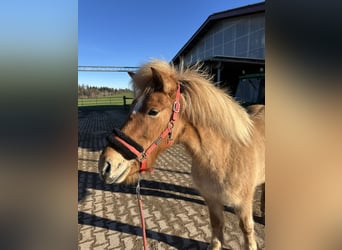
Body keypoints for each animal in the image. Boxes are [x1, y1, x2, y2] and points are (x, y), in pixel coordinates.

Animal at [98, 60, 264, 250]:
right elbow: (216, 225)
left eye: (153, 111)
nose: (106, 165)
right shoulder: (212, 199)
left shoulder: (243, 204)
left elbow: (247, 229)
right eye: (132, 105)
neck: (224, 155)